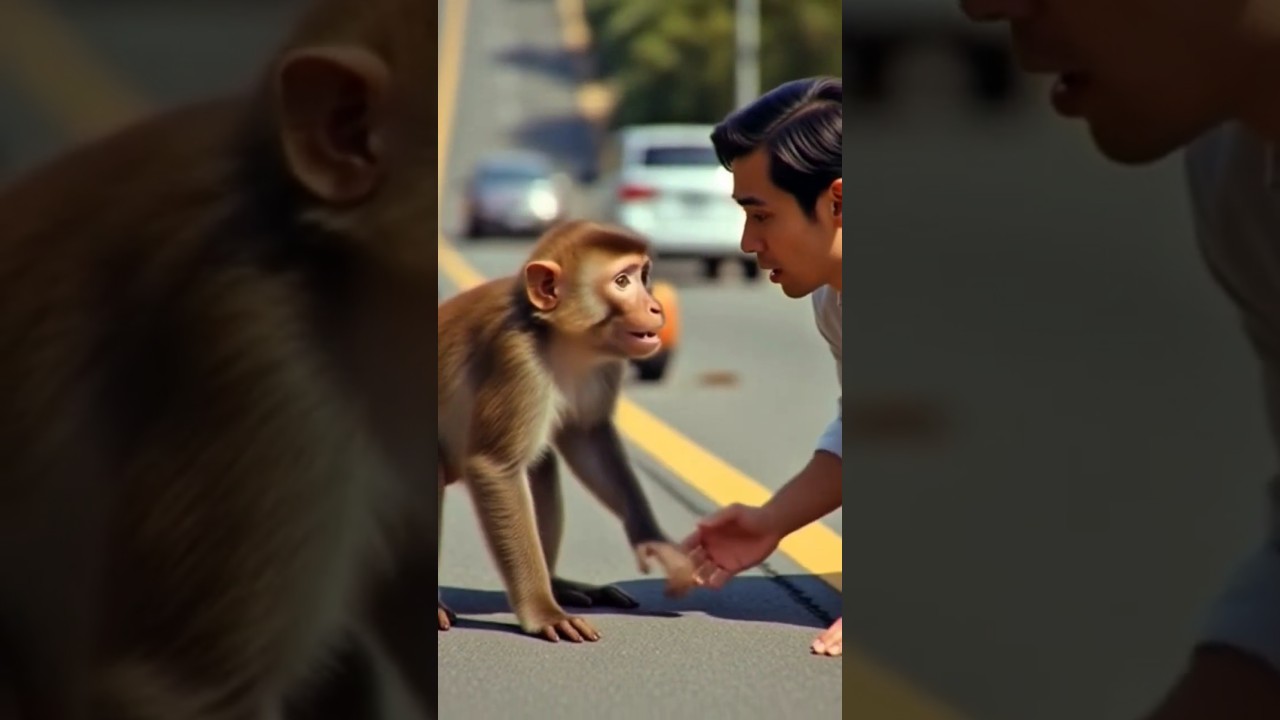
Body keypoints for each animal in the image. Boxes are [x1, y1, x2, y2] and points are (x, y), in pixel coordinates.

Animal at [437, 220, 697, 643]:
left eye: (644, 275)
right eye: (622, 281)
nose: (656, 306)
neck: (558, 339)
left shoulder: (604, 364)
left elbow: (587, 437)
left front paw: (653, 542)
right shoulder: (517, 362)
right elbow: (495, 467)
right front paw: (542, 612)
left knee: (541, 466)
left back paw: (560, 585)